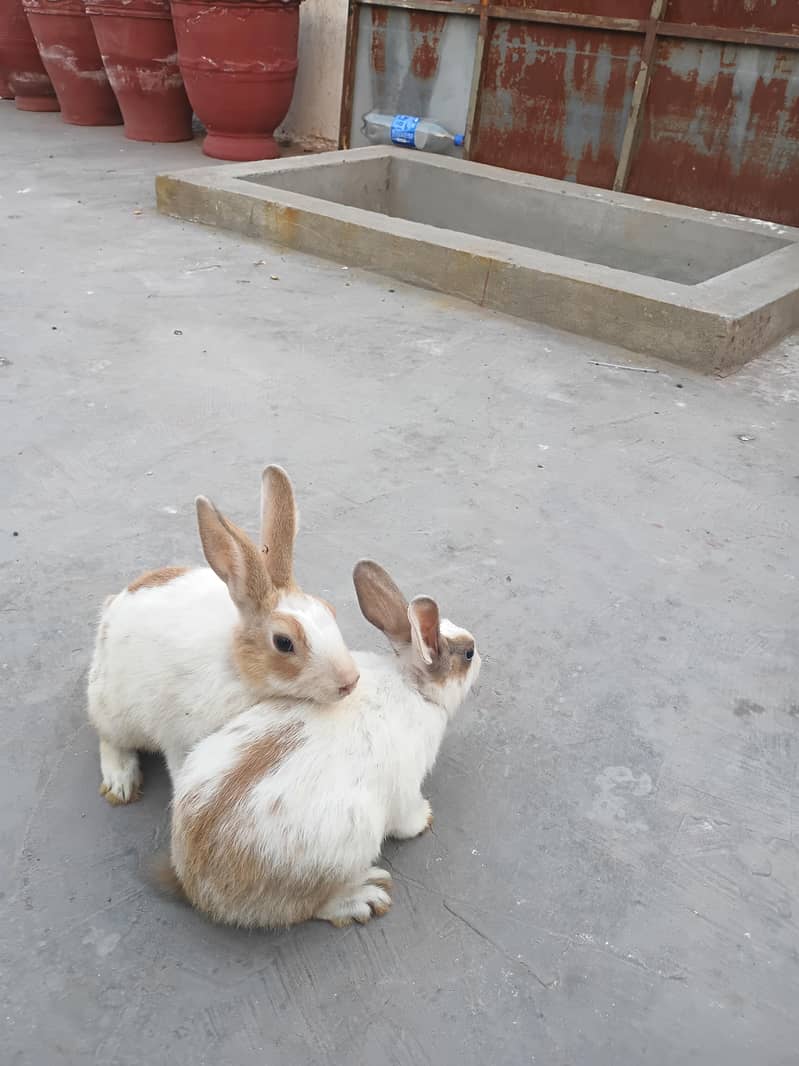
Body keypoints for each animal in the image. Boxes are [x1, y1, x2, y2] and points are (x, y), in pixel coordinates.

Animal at [87, 466, 360, 806]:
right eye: (284, 642)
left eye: (329, 610)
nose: (350, 680)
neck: (238, 669)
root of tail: (113, 606)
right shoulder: (179, 737)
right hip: (114, 710)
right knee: (108, 737)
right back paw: (120, 784)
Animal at [166, 559, 481, 930]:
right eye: (468, 653)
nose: (480, 652)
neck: (413, 685)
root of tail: (200, 887)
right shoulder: (405, 788)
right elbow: (407, 818)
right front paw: (425, 819)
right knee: (309, 907)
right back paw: (364, 897)